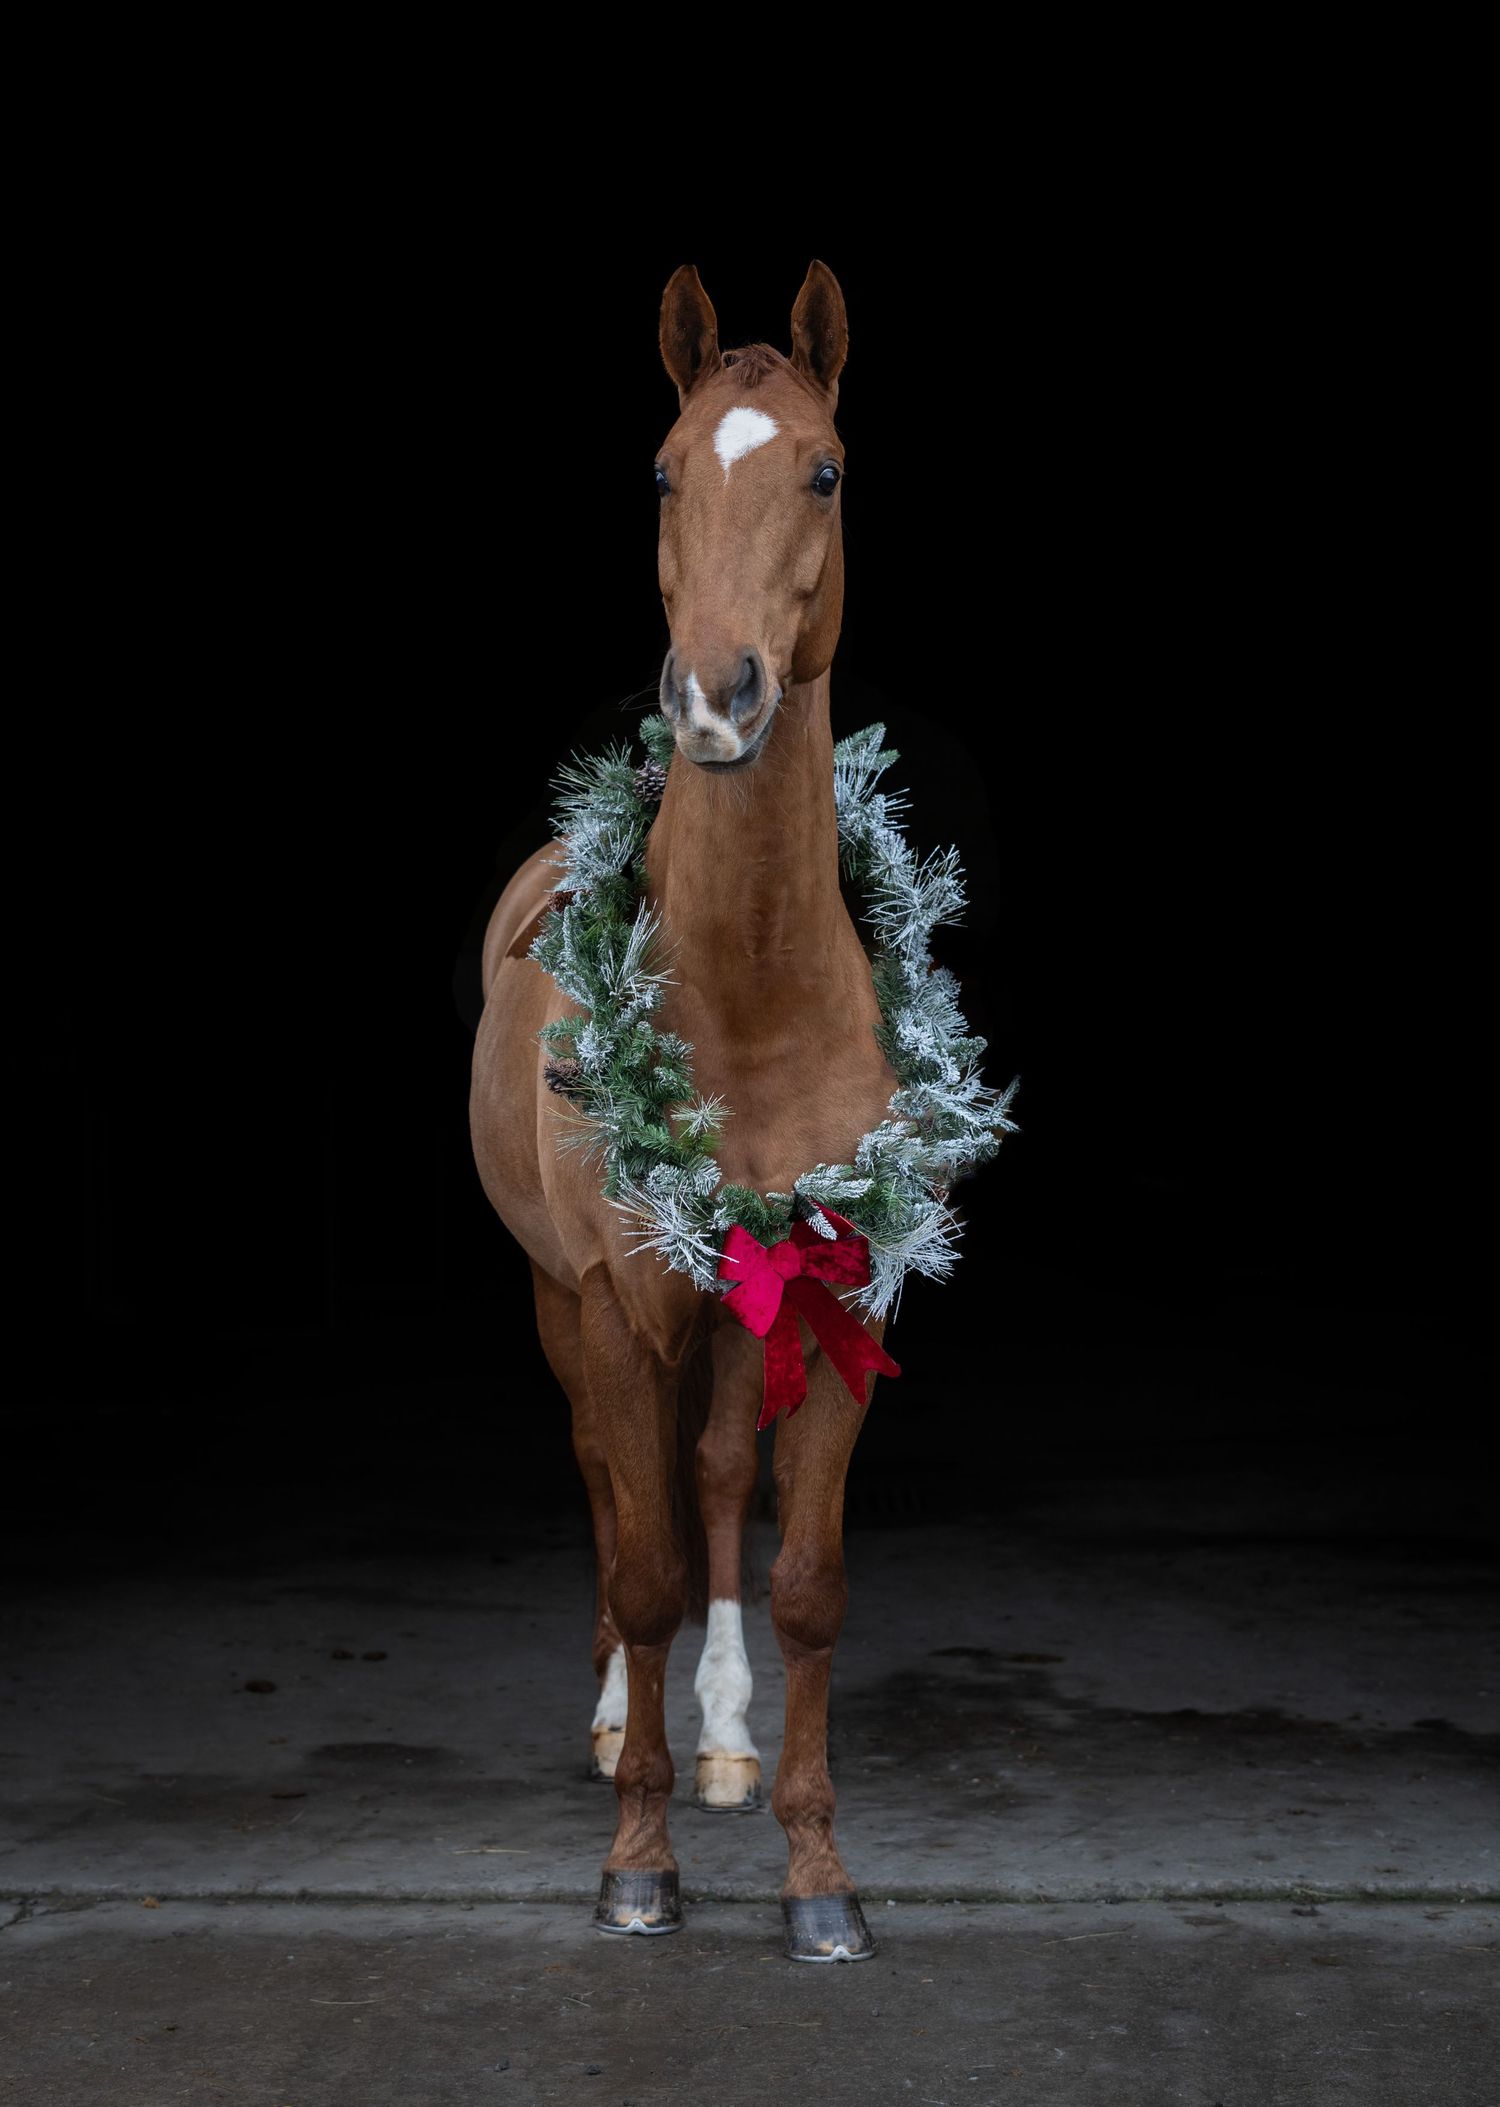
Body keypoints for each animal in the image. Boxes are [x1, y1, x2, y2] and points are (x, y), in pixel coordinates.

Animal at [469, 259, 899, 1962]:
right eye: (661, 471)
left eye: (825, 470)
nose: (716, 700)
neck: (754, 986)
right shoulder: (617, 1293)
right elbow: (641, 1561)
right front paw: (639, 1860)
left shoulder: (835, 1279)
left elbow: (808, 1579)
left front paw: (816, 1871)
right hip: (571, 1297)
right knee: (613, 1486)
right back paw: (624, 1729)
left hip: (735, 1295)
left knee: (714, 1476)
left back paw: (721, 1736)